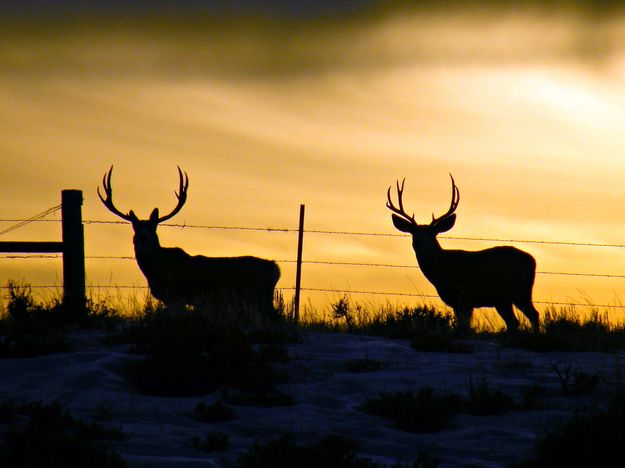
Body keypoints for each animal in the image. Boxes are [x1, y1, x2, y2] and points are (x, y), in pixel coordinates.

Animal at [98, 166, 280, 316]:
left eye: (152, 228)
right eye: (135, 227)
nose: (143, 236)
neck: (158, 270)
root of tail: (274, 268)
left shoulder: (177, 295)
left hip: (258, 296)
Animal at [386, 175, 536, 332]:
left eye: (432, 234)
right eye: (414, 234)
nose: (418, 243)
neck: (442, 270)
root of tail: (532, 260)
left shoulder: (464, 299)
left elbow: (463, 326)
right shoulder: (457, 303)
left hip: (519, 292)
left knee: (531, 315)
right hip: (505, 298)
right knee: (515, 321)